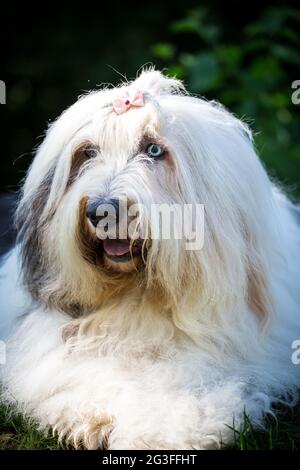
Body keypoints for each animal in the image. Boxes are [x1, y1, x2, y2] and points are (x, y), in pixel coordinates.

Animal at [0, 69, 300, 448]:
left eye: (154, 150)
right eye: (87, 153)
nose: (101, 210)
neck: (141, 293)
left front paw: (155, 434)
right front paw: (91, 415)